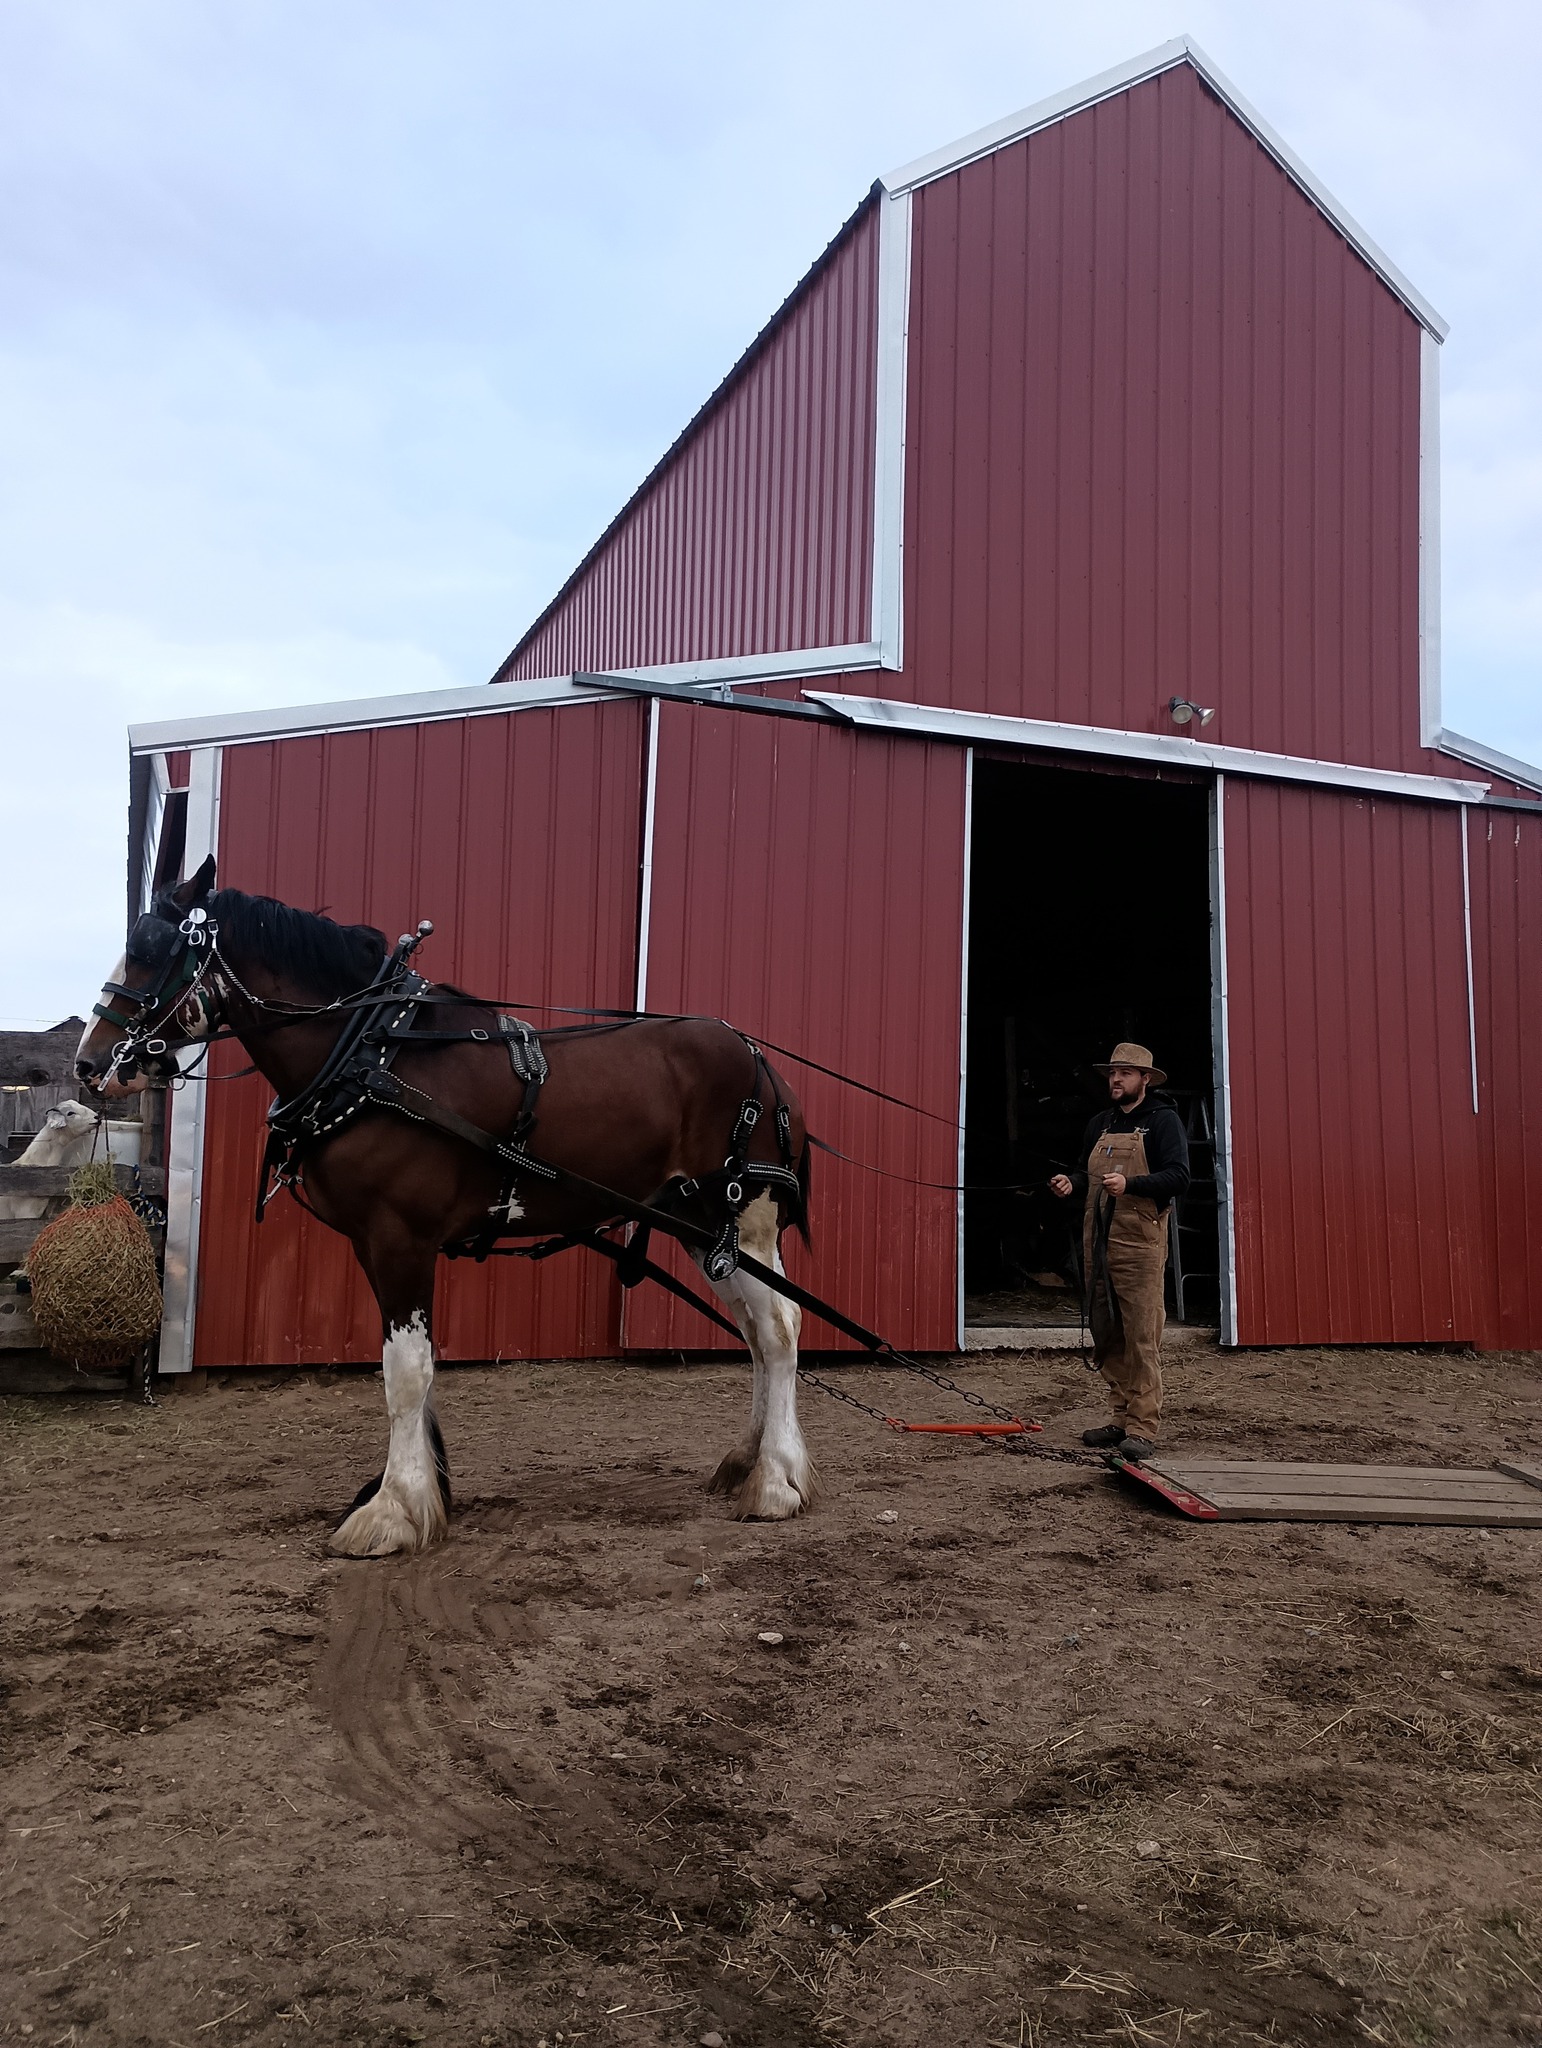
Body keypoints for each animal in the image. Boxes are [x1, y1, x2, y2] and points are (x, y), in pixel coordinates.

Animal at [73, 856, 816, 1556]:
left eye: (151, 947)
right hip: (700, 1226)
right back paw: (746, 1462)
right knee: (754, 1332)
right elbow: (411, 1368)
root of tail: (759, 1060)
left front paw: (393, 1511)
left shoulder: (402, 1236)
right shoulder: (374, 1243)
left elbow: (405, 1372)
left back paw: (776, 1481)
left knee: (779, 1329)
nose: (89, 1065)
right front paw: (421, 1489)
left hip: (745, 1218)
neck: (372, 1055)